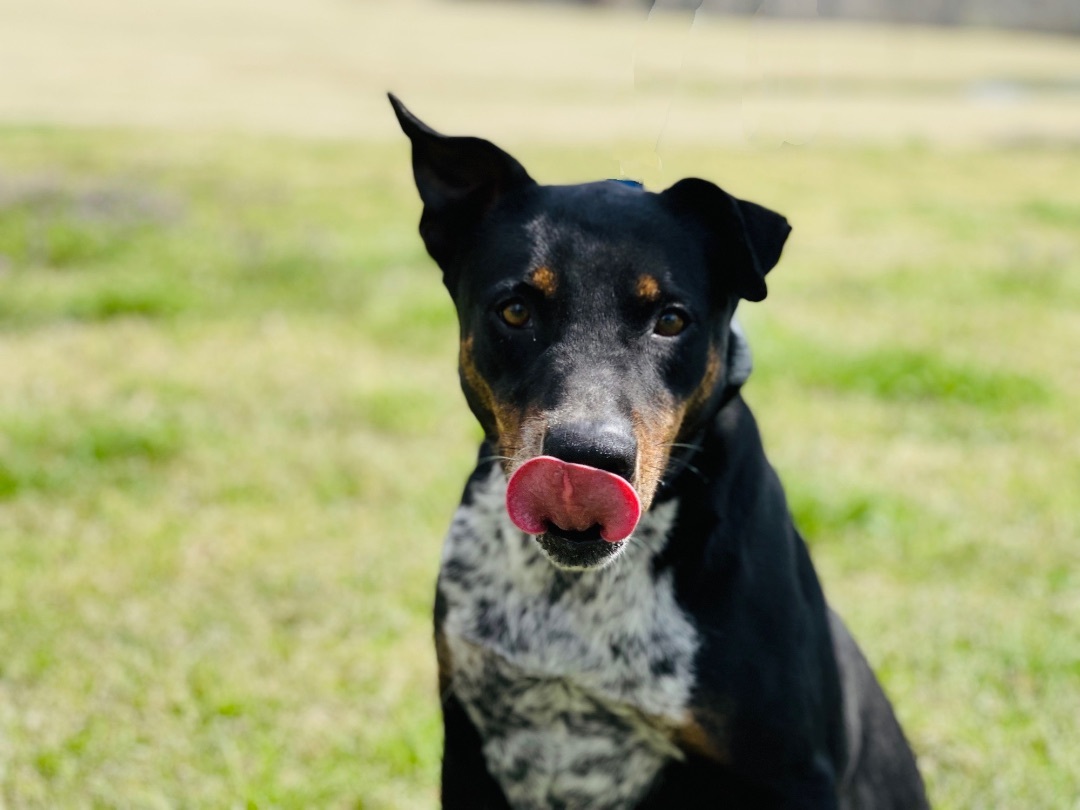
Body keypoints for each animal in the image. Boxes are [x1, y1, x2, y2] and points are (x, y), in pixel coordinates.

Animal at [388, 91, 928, 807]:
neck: (572, 597)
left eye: (671, 319)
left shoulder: (791, 771)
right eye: (515, 311)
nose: (586, 459)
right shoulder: (469, 742)